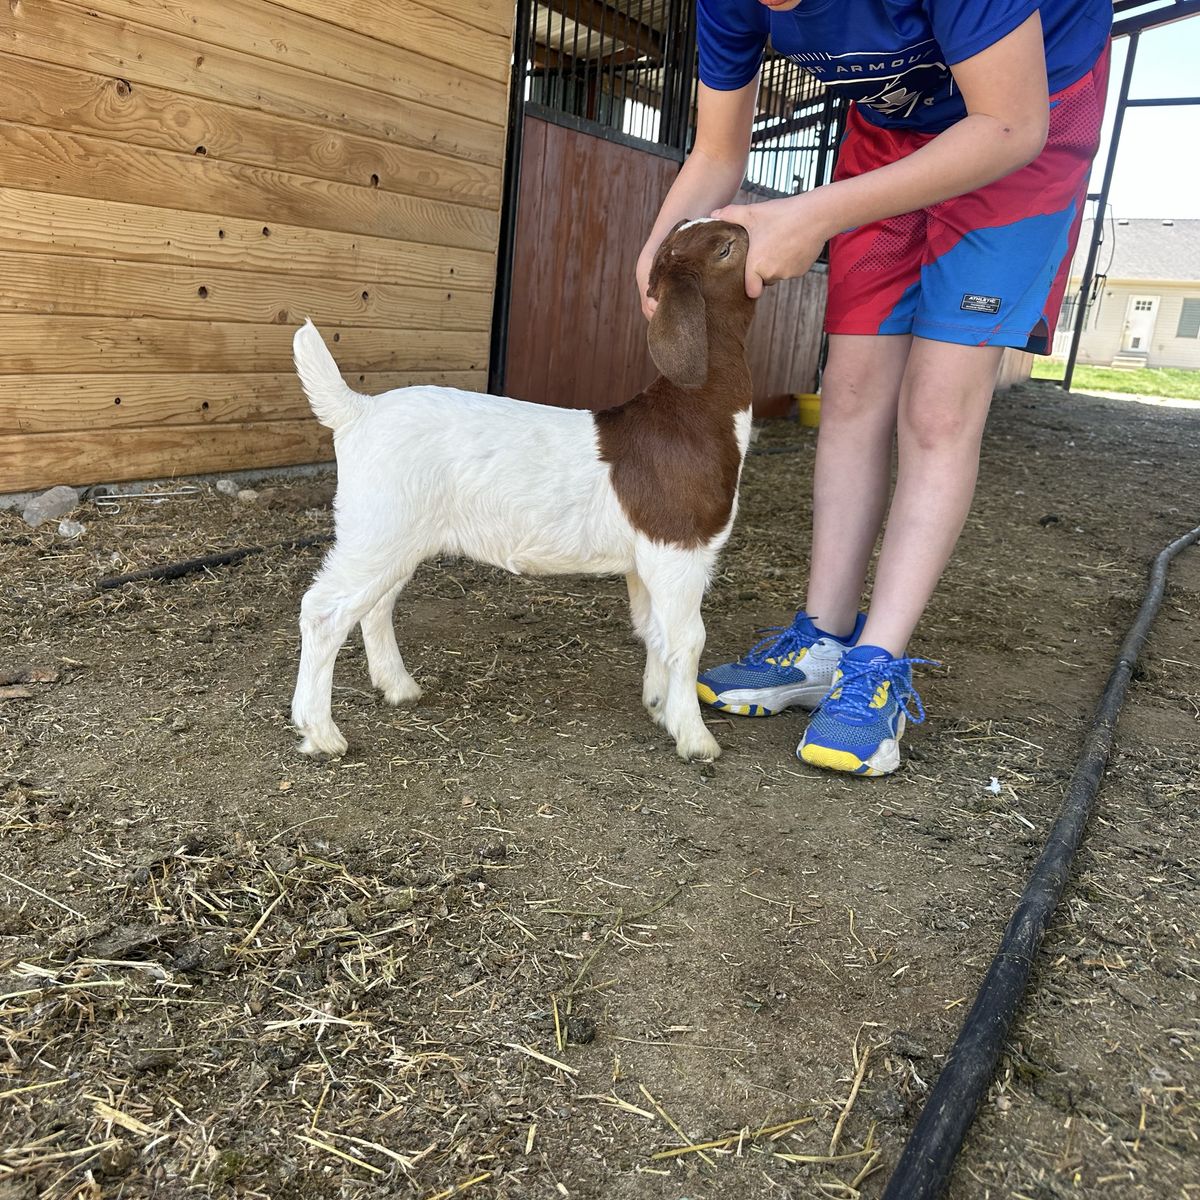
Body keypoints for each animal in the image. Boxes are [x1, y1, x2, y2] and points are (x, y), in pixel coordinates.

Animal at [290, 218, 756, 762]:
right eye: (726, 249)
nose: (749, 228)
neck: (692, 414)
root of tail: (356, 412)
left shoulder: (647, 559)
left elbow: (654, 631)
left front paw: (660, 707)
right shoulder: (679, 545)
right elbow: (688, 638)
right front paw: (695, 737)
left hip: (396, 534)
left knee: (375, 605)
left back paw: (398, 687)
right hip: (378, 527)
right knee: (324, 611)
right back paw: (321, 732)